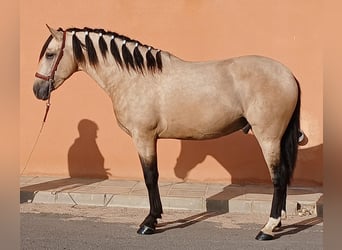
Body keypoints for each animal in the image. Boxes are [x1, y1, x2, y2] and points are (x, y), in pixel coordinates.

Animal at [32, 25, 300, 240]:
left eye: (50, 54)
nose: (38, 89)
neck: (133, 78)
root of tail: (289, 75)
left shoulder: (144, 137)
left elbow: (151, 177)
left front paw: (149, 223)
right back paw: (278, 223)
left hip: (268, 138)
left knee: (278, 178)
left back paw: (267, 228)